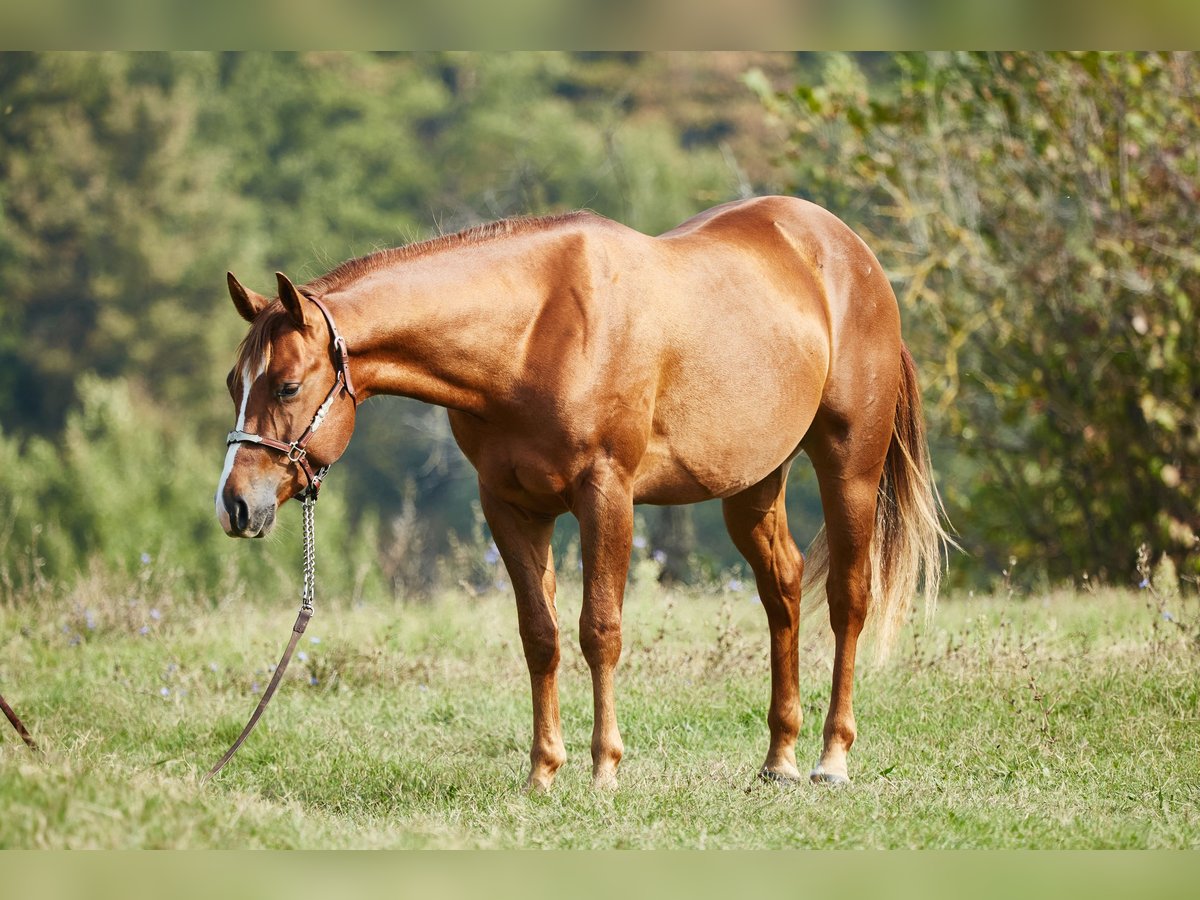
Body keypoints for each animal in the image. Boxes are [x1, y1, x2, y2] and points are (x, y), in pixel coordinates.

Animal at [213, 195, 945, 787]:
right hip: (752, 482)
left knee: (848, 598)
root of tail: (850, 253)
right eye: (232, 382)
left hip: (849, 464)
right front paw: (543, 772)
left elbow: (601, 631)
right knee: (784, 588)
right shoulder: (509, 506)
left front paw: (603, 769)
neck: (533, 334)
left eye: (287, 385)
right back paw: (779, 761)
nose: (236, 505)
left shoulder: (606, 495)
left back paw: (831, 759)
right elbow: (540, 636)